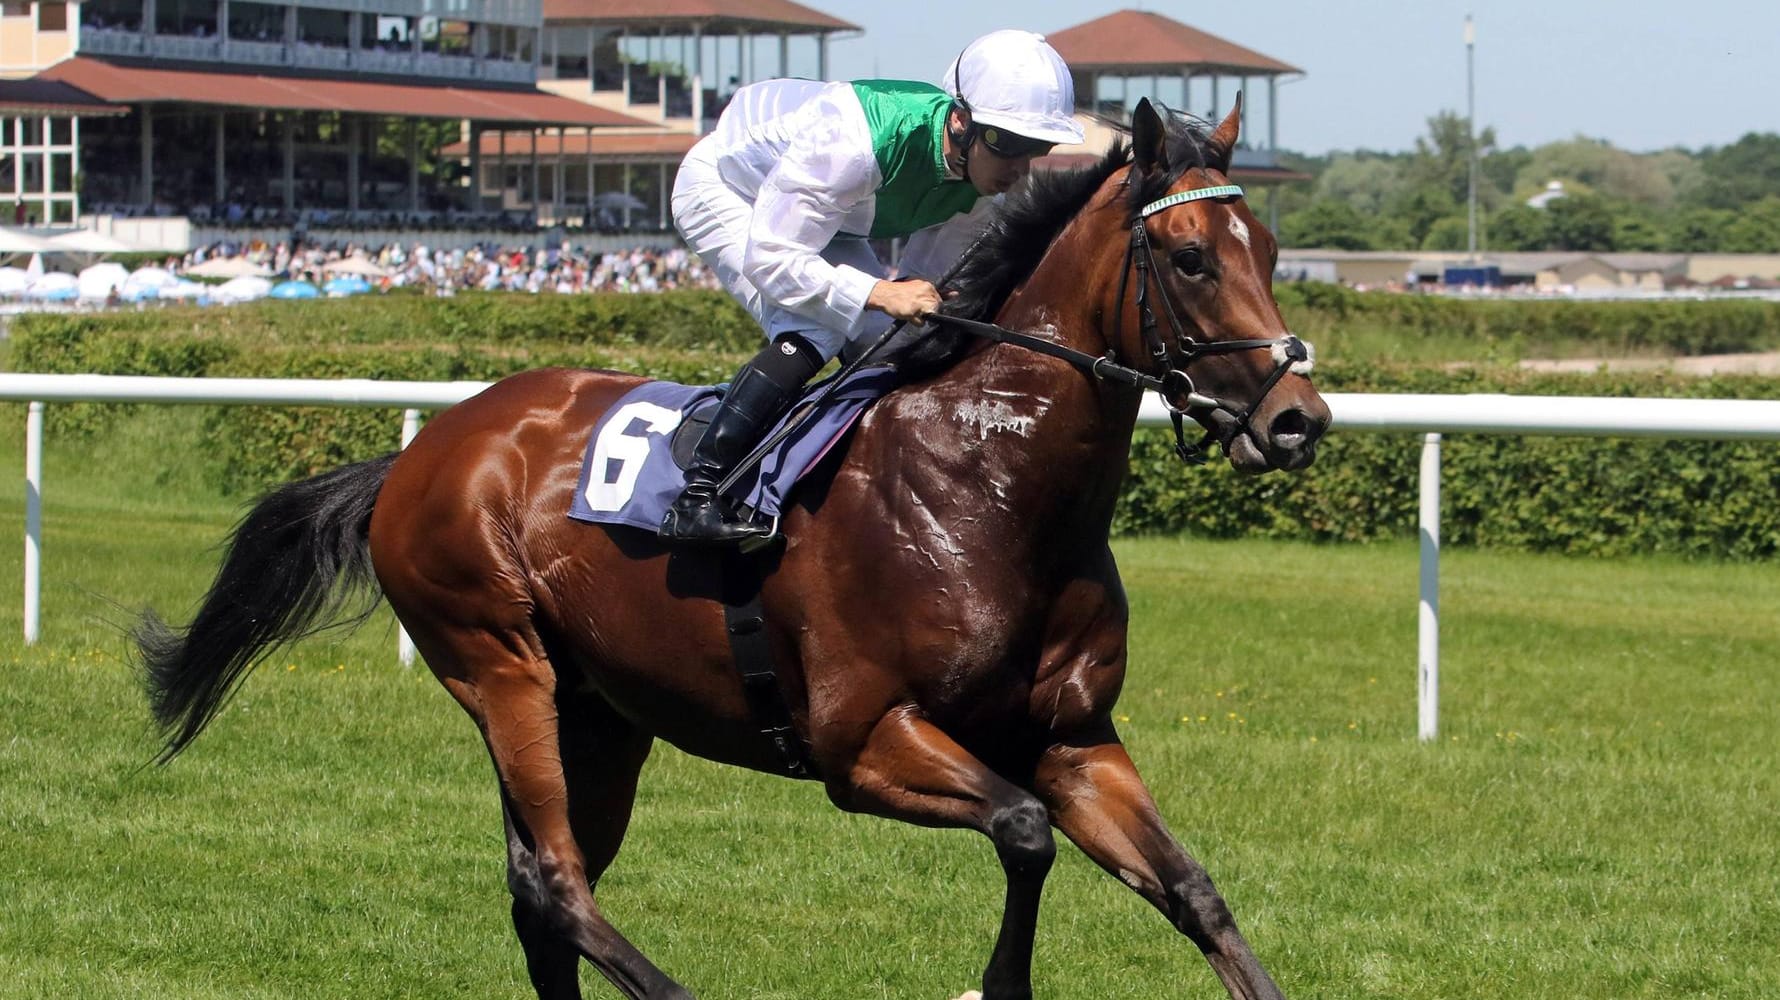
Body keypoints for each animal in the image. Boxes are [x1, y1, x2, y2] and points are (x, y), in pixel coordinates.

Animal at [142, 99, 1324, 996]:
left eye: (1269, 253)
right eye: (1187, 259)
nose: (1297, 421)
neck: (983, 487)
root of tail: (425, 449)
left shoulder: (1073, 737)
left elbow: (1192, 890)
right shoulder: (860, 741)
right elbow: (1025, 832)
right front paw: (997, 984)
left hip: (599, 713)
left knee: (540, 890)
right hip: (498, 662)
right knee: (558, 881)